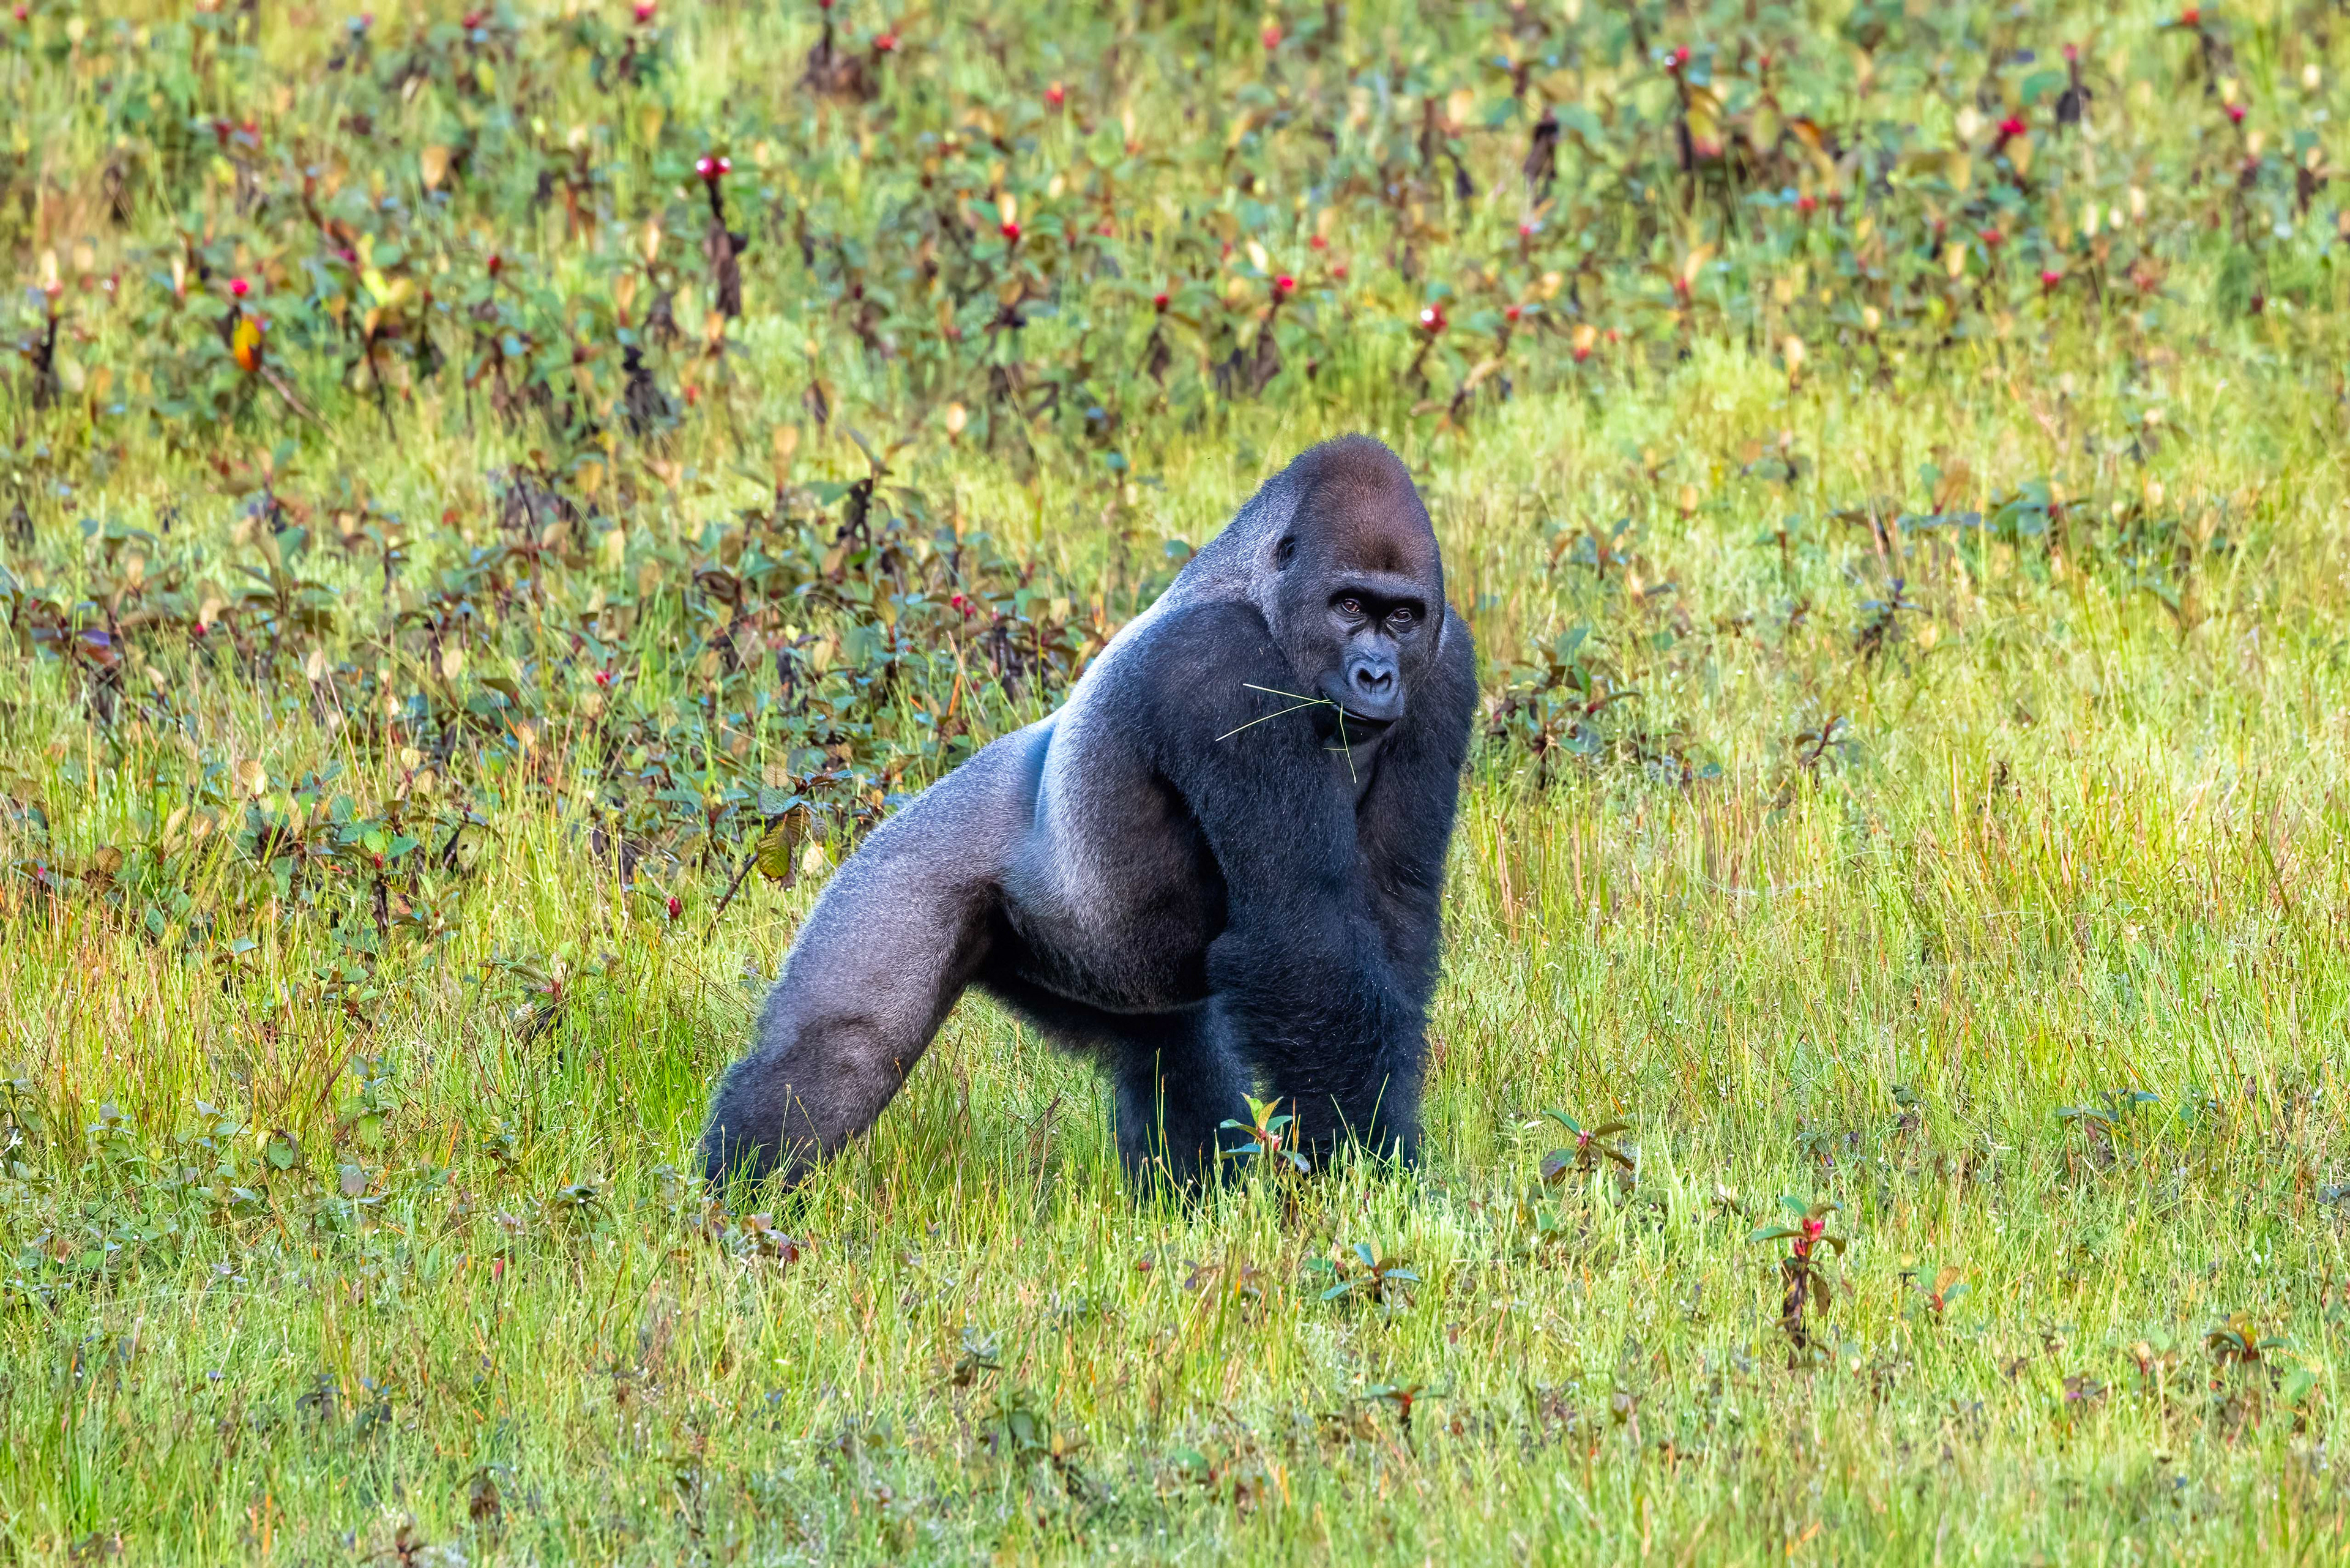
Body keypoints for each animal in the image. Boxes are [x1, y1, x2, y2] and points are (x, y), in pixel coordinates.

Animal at [701, 434, 1477, 1193]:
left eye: (1401, 616)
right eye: (1349, 607)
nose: (1375, 675)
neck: (1261, 590)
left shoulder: (1446, 664)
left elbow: (1391, 914)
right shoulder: (1221, 668)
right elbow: (1304, 933)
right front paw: (1370, 1171)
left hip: (1093, 972)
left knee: (1165, 1051)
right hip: (902, 875)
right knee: (840, 1055)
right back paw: (731, 1205)